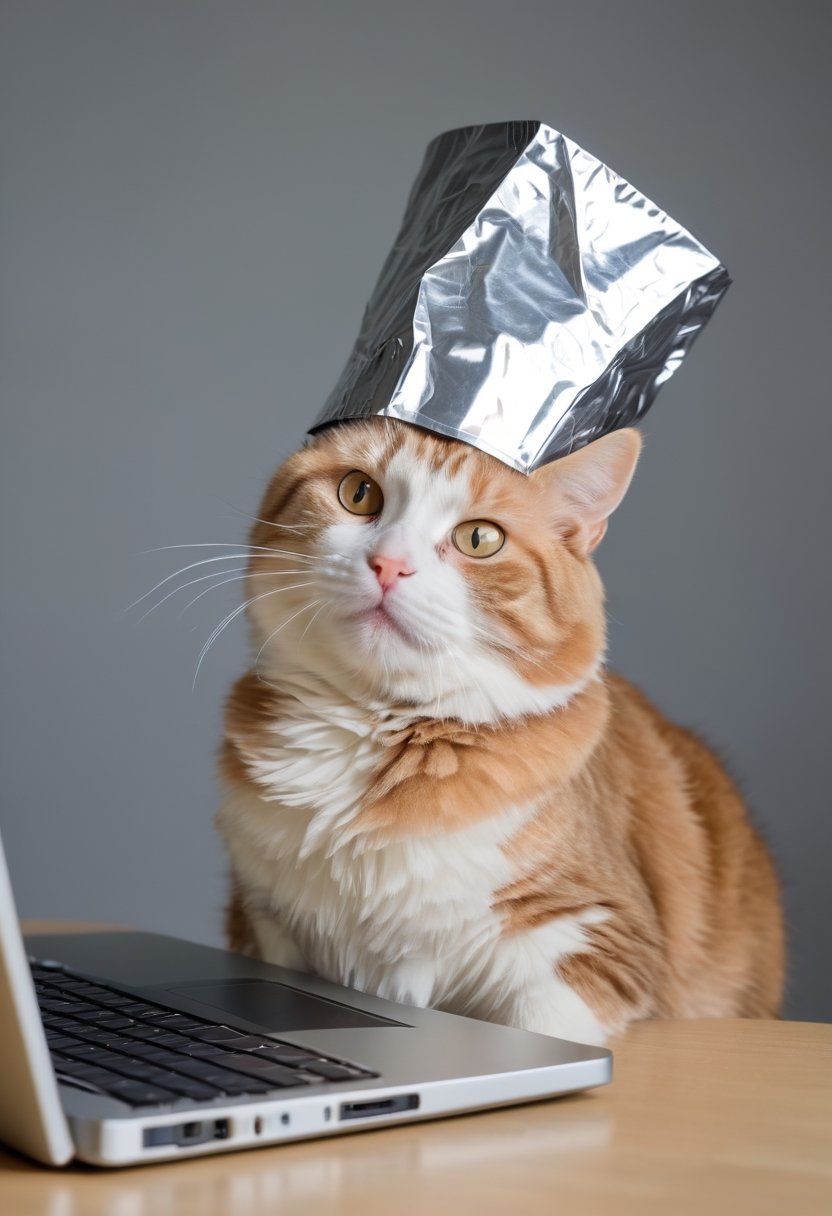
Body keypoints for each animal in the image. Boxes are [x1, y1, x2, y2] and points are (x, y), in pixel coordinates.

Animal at [216, 418, 788, 1045]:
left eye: (479, 540)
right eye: (359, 494)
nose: (389, 565)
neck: (377, 730)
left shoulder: (596, 934)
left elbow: (537, 1029)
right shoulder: (264, 924)